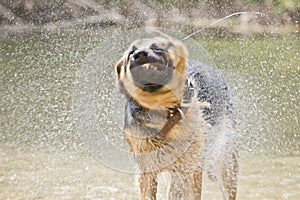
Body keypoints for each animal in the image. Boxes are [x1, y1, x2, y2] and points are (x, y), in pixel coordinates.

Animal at [115, 28, 239, 199]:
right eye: (131, 52)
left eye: (157, 47)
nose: (139, 54)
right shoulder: (147, 172)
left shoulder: (187, 169)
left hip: (225, 163)